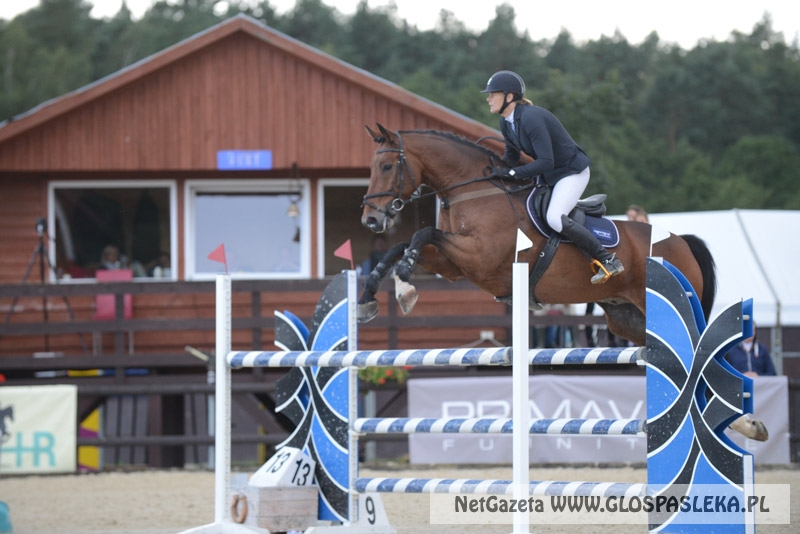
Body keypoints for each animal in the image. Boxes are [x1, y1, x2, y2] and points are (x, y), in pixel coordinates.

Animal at [358, 124, 767, 441]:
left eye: (387, 165)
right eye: (372, 167)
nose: (371, 221)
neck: (475, 191)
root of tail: (682, 240)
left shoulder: (480, 258)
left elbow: (422, 233)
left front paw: (405, 286)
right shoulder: (458, 265)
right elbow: (401, 245)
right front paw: (371, 296)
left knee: (702, 357)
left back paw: (744, 424)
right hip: (628, 318)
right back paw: (739, 424)